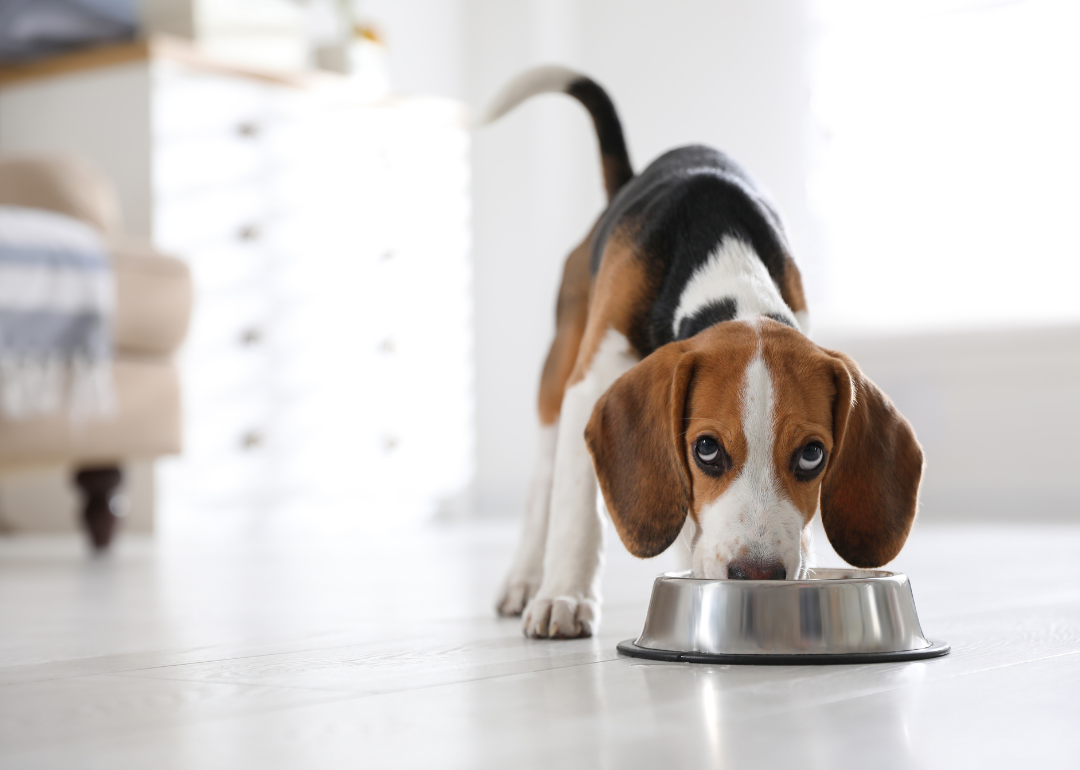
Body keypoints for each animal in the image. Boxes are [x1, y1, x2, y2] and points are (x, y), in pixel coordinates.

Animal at [486, 69, 924, 639]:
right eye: (707, 450)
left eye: (813, 455)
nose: (757, 575)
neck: (722, 260)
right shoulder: (590, 385)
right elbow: (576, 510)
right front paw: (565, 595)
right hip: (557, 377)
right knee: (544, 482)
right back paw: (525, 579)